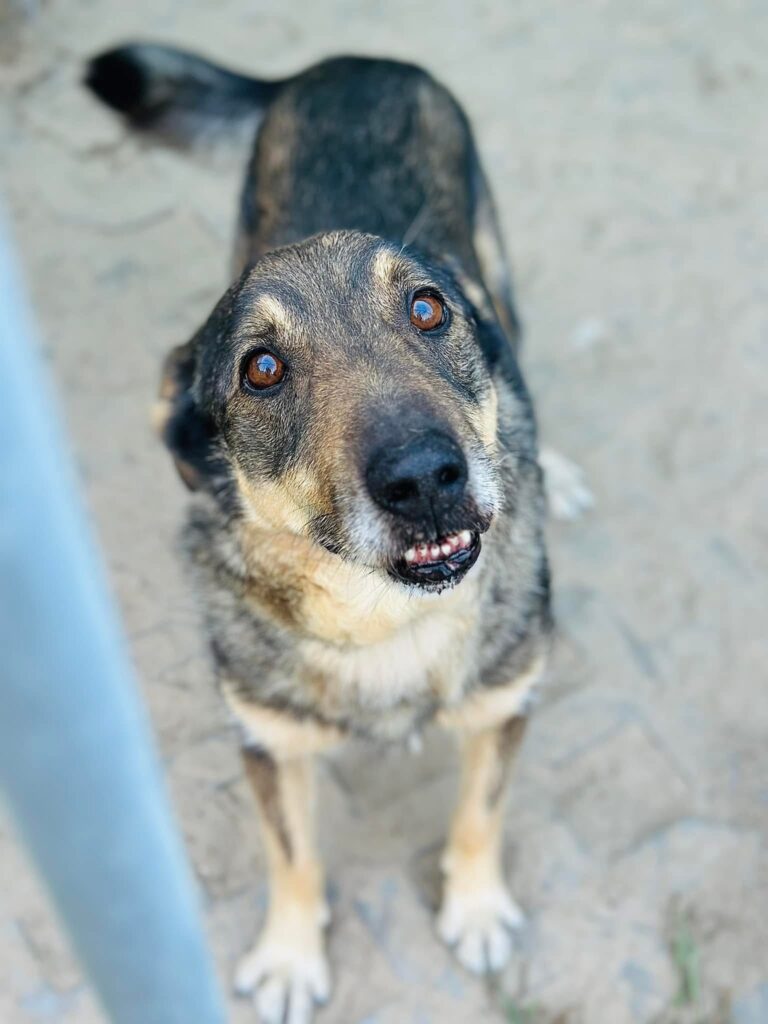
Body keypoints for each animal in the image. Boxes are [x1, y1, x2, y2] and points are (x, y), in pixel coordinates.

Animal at [86, 44, 559, 1024]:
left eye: (428, 310)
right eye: (262, 369)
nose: (426, 478)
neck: (382, 618)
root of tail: (349, 59)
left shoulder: (508, 698)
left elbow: (480, 811)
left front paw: (476, 905)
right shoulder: (266, 740)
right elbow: (291, 854)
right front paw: (289, 955)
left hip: (496, 254)